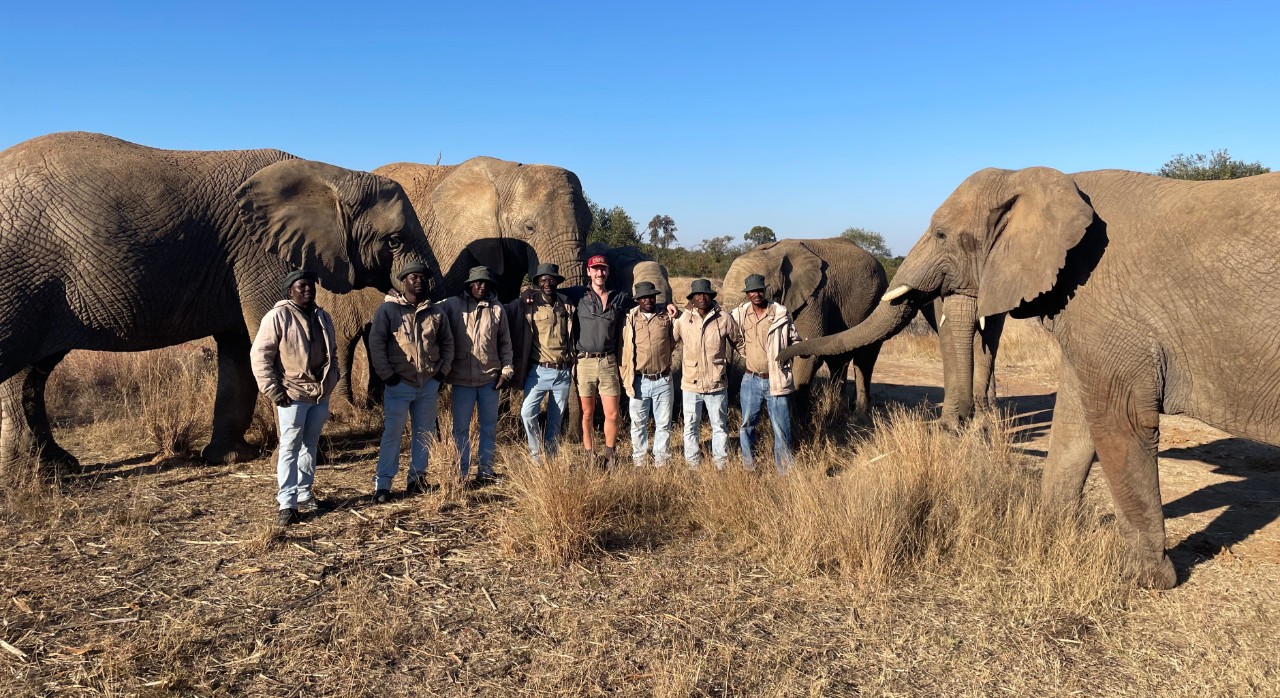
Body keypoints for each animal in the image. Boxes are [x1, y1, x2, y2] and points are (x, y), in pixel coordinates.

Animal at [0, 131, 433, 469]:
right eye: (394, 241)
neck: (334, 175)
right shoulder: (259, 253)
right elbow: (267, 338)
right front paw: (310, 456)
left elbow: (240, 350)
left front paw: (229, 458)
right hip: (20, 274)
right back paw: (39, 473)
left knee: (32, 372)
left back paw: (53, 468)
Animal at [318, 156, 591, 405]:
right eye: (529, 228)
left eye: (588, 228)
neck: (507, 175)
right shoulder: (456, 247)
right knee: (344, 337)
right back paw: (347, 408)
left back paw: (377, 402)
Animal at [720, 238, 887, 424]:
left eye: (767, 291)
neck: (774, 253)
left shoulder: (815, 297)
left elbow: (805, 353)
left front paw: (797, 423)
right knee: (838, 360)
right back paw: (840, 409)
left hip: (876, 301)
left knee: (865, 359)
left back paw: (860, 417)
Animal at [779, 166, 1280, 589]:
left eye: (941, 234)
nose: (784, 348)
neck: (1040, 178)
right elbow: (1076, 418)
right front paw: (1050, 530)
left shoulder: (1111, 310)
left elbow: (1119, 420)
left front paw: (1144, 580)